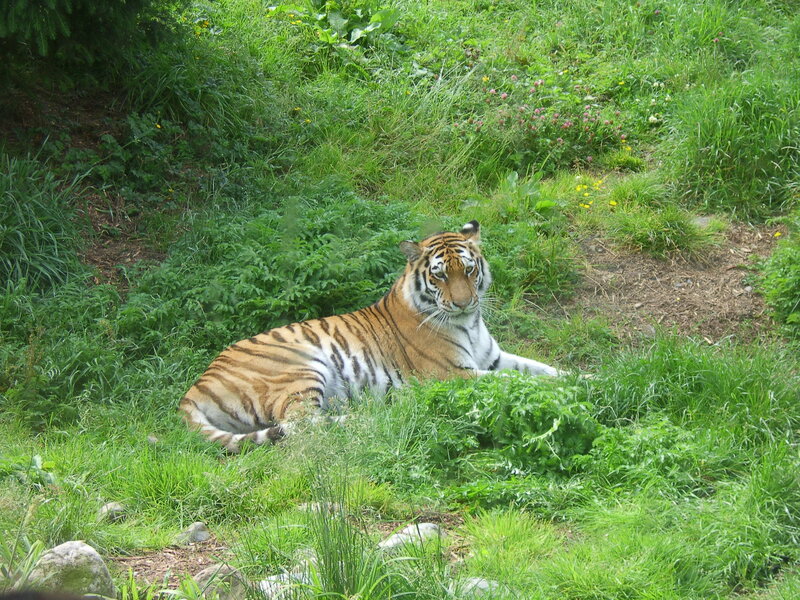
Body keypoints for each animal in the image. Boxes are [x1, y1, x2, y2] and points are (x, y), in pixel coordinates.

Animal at [179, 220, 562, 452]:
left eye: (469, 270)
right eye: (439, 275)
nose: (464, 302)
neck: (469, 322)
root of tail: (195, 386)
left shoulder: (493, 359)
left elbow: (543, 369)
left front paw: (576, 377)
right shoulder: (451, 374)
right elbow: (514, 382)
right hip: (300, 368)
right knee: (303, 426)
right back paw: (377, 414)